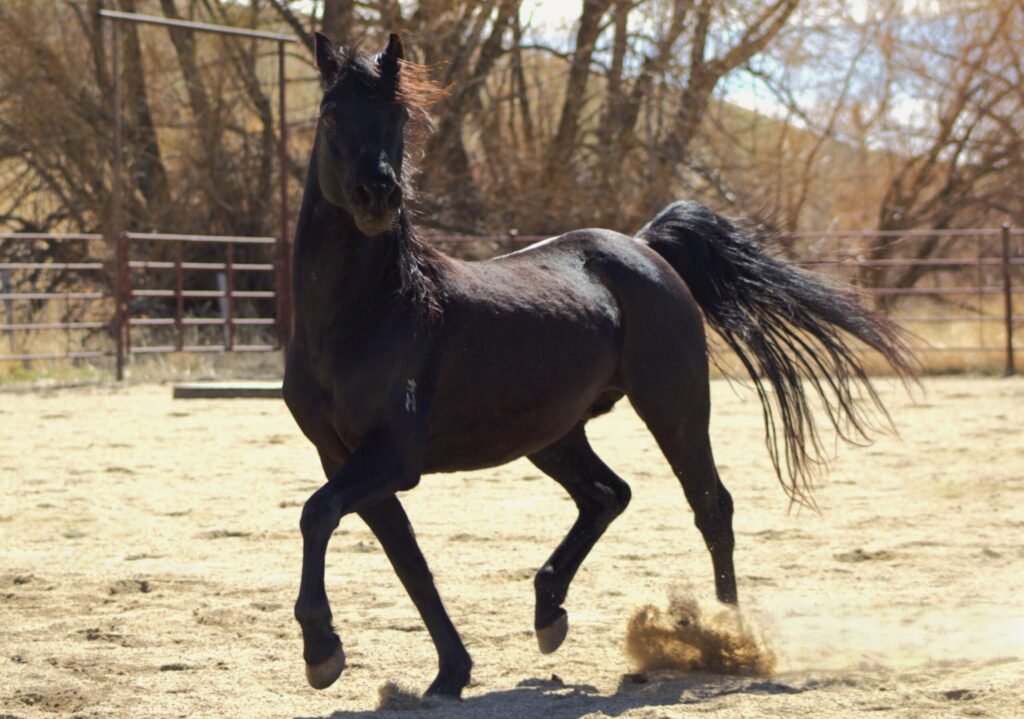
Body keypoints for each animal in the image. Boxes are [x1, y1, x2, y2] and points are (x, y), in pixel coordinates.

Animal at [282, 32, 915, 699]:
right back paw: (549, 613)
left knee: (710, 507)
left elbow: (318, 515)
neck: (370, 315)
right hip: (554, 434)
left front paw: (322, 651)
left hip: (673, 406)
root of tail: (643, 247)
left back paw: (725, 639)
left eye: (399, 117)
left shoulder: (392, 458)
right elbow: (407, 561)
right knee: (608, 495)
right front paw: (448, 673)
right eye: (330, 115)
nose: (378, 196)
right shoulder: (346, 459)